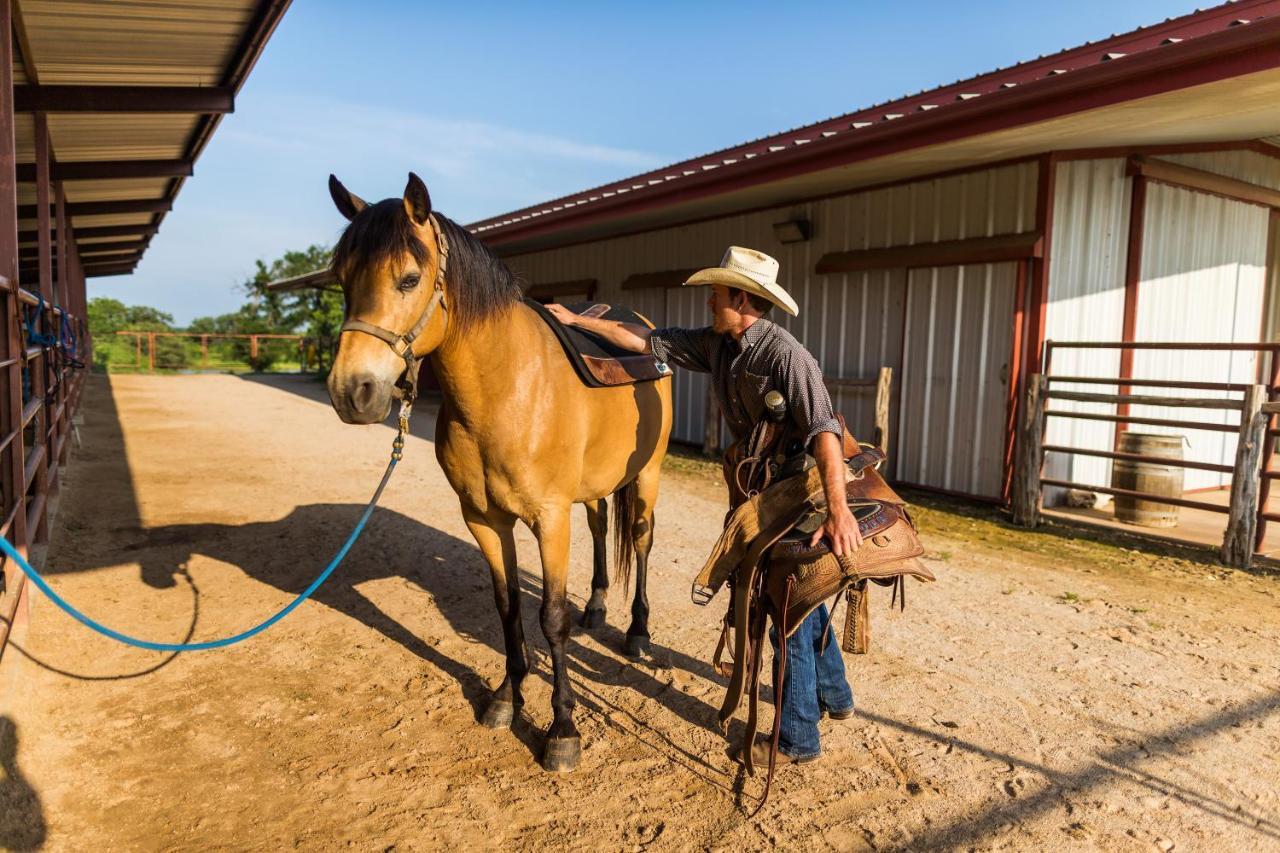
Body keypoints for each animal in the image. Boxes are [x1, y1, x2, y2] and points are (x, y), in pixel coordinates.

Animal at [325, 172, 675, 768]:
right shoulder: (484, 519)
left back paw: (637, 631)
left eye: (409, 278)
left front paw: (562, 729)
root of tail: (644, 333)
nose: (353, 392)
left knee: (641, 538)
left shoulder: (549, 520)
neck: (506, 388)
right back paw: (598, 607)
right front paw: (506, 699)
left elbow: (550, 618)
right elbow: (508, 607)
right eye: (343, 280)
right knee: (601, 526)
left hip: (646, 476)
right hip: (593, 488)